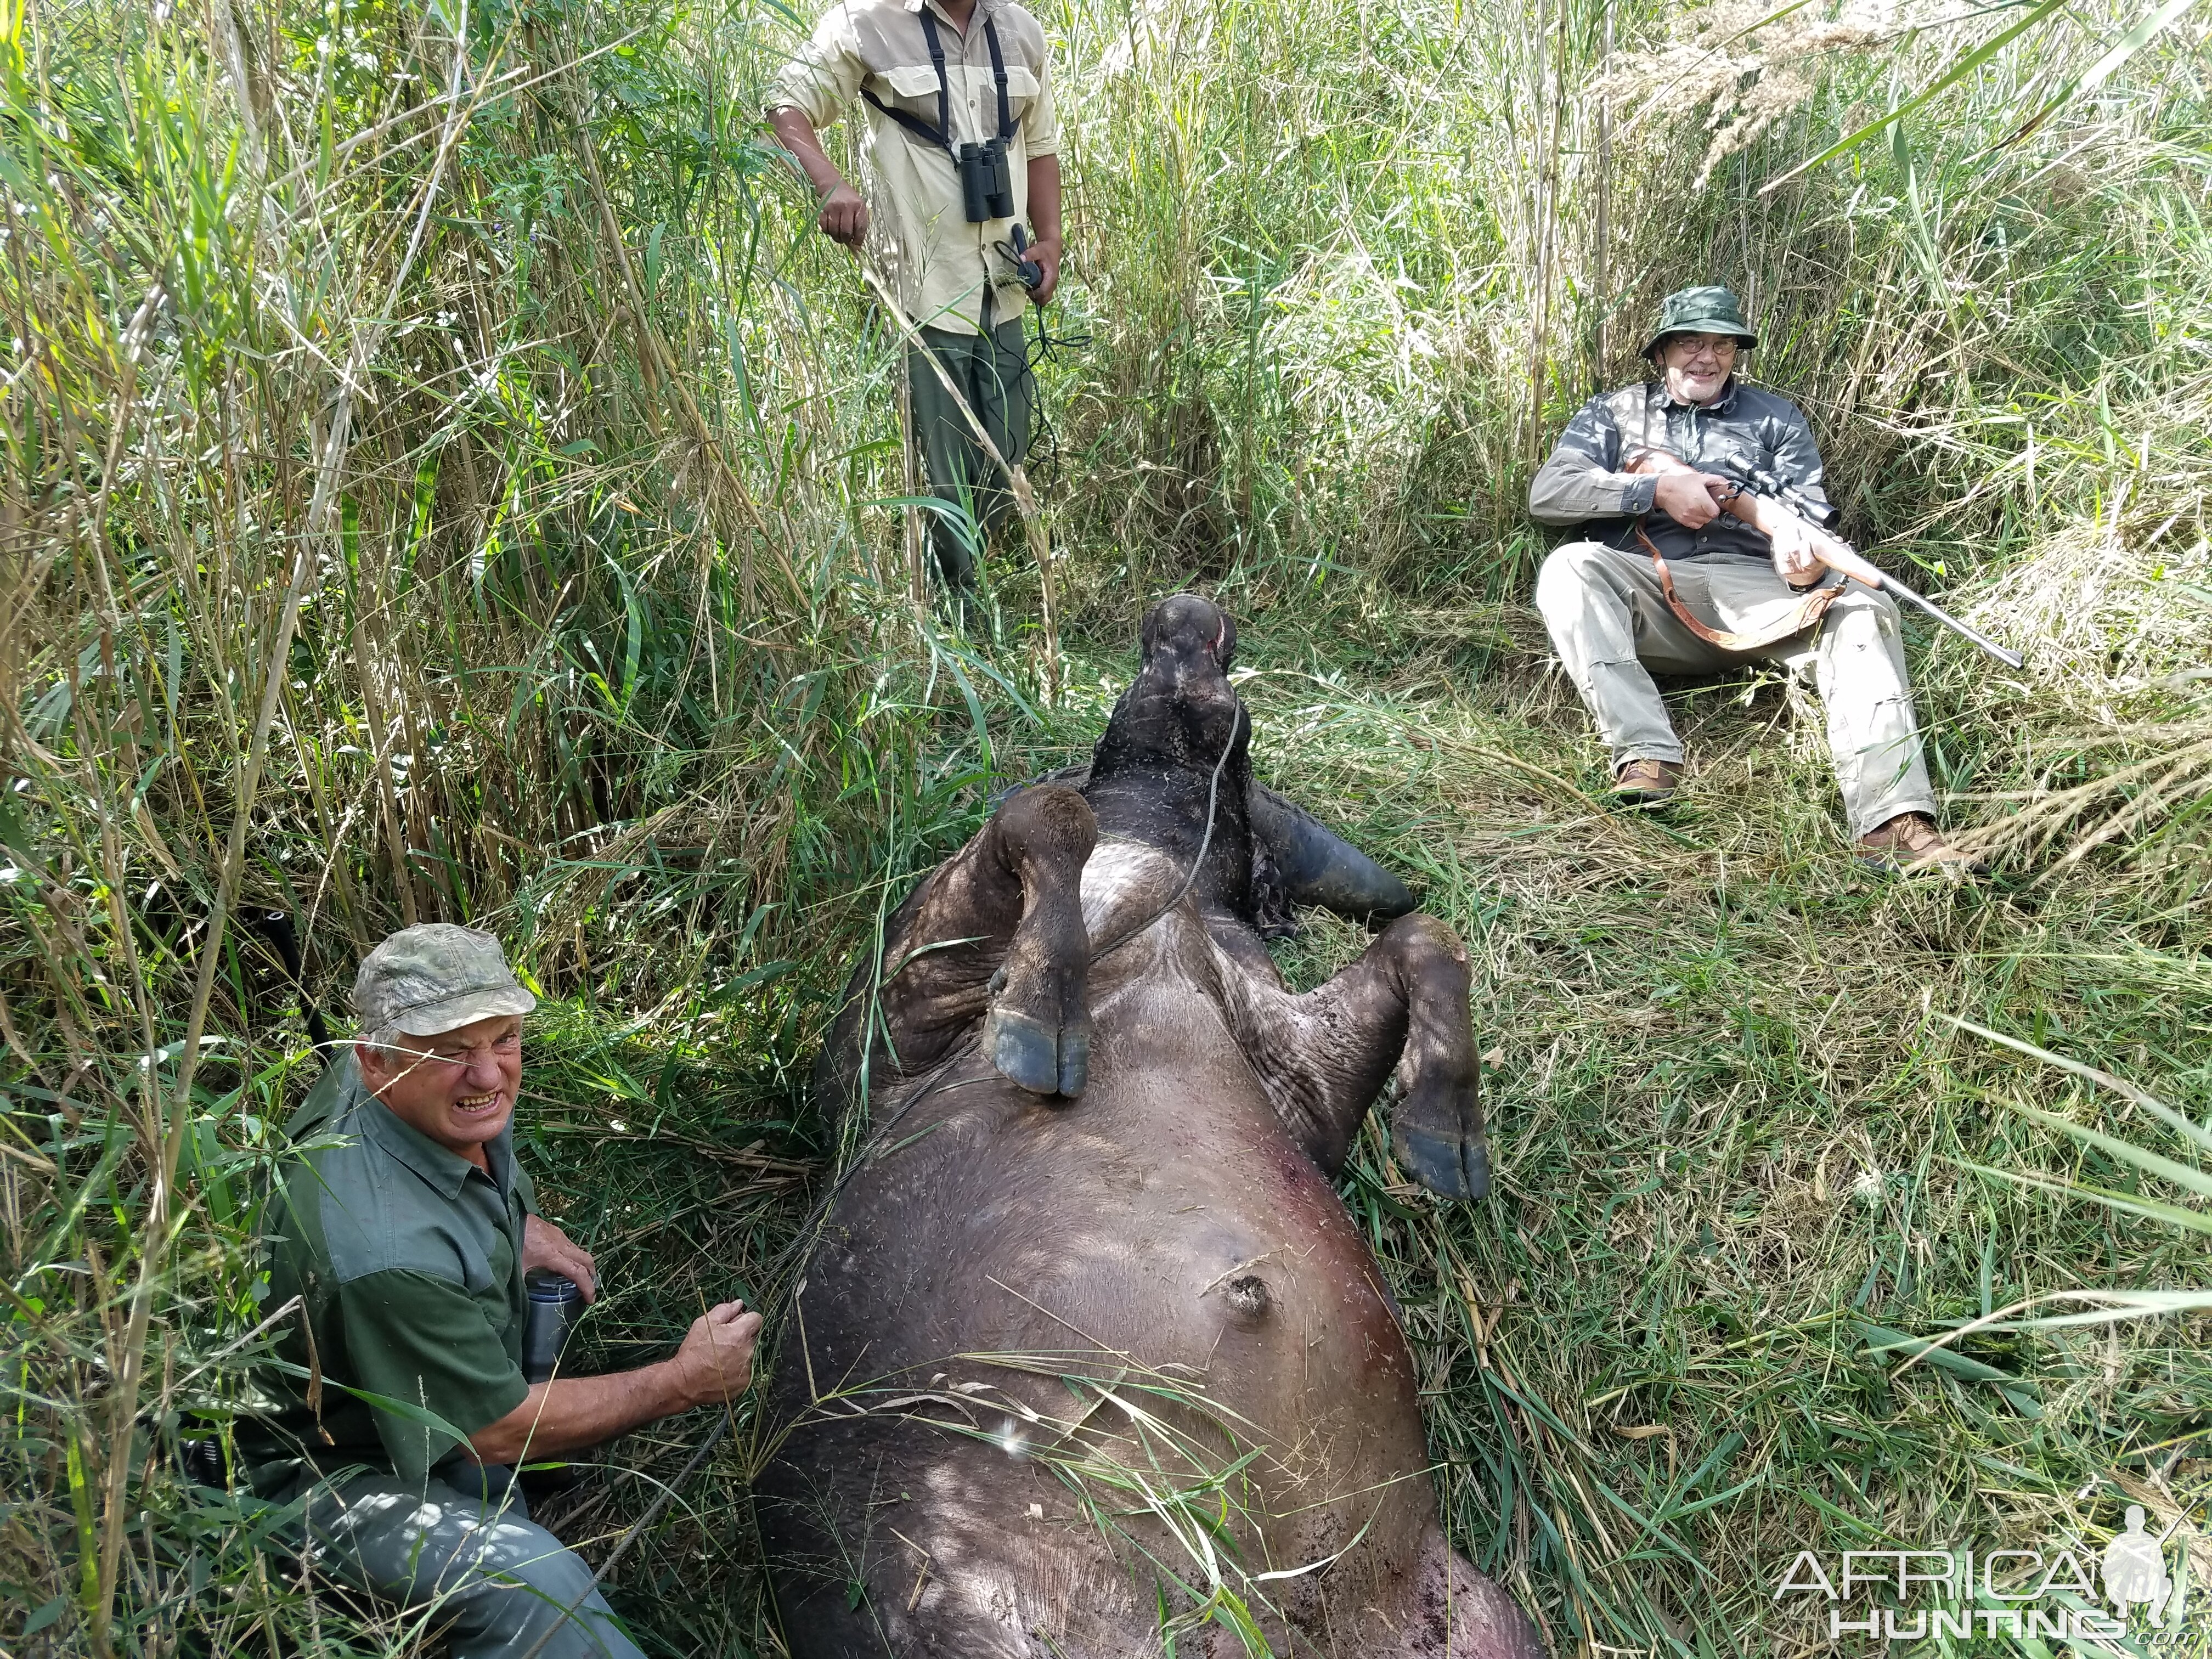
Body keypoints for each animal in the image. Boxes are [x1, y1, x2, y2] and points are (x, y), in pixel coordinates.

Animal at [756, 592, 1539, 1654]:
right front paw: (1041, 1014)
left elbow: (1427, 936)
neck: (1172, 860)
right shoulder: (887, 1030)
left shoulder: (1299, 1078)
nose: (1187, 614)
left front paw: (1446, 1133)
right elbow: (1052, 815)